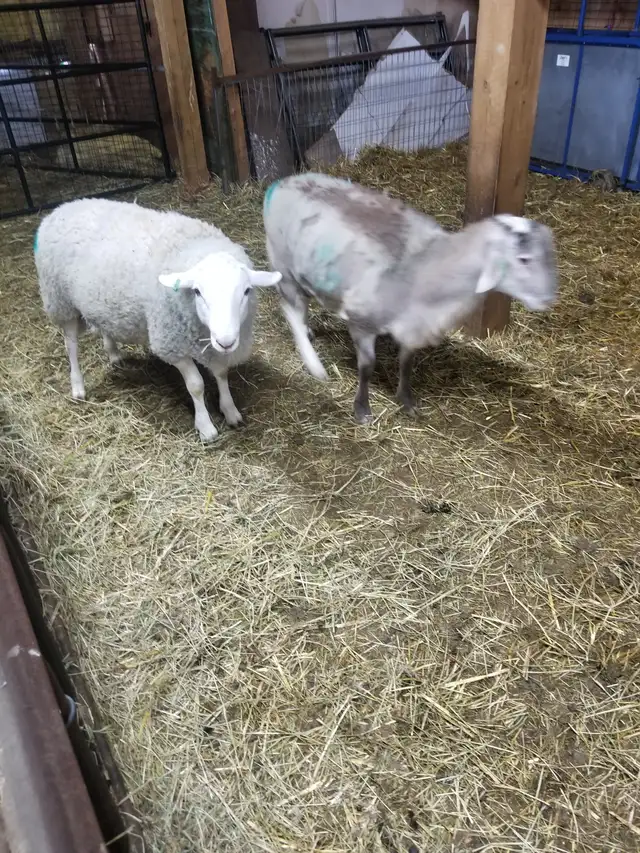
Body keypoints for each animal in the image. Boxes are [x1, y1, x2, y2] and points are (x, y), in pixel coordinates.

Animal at [35, 197, 282, 442]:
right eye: (198, 292)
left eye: (247, 291)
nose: (226, 341)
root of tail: (63, 207)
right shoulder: (171, 344)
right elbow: (196, 385)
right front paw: (205, 426)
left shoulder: (213, 347)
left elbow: (221, 374)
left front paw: (230, 410)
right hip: (61, 301)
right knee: (71, 345)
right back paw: (78, 386)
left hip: (99, 300)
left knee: (105, 327)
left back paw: (114, 354)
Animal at [263, 172, 557, 424]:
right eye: (524, 259)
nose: (548, 300)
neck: (427, 266)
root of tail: (281, 182)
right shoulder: (361, 321)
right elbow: (367, 367)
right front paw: (362, 409)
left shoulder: (413, 324)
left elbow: (406, 363)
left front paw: (406, 400)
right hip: (283, 266)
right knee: (291, 311)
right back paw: (314, 364)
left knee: (301, 309)